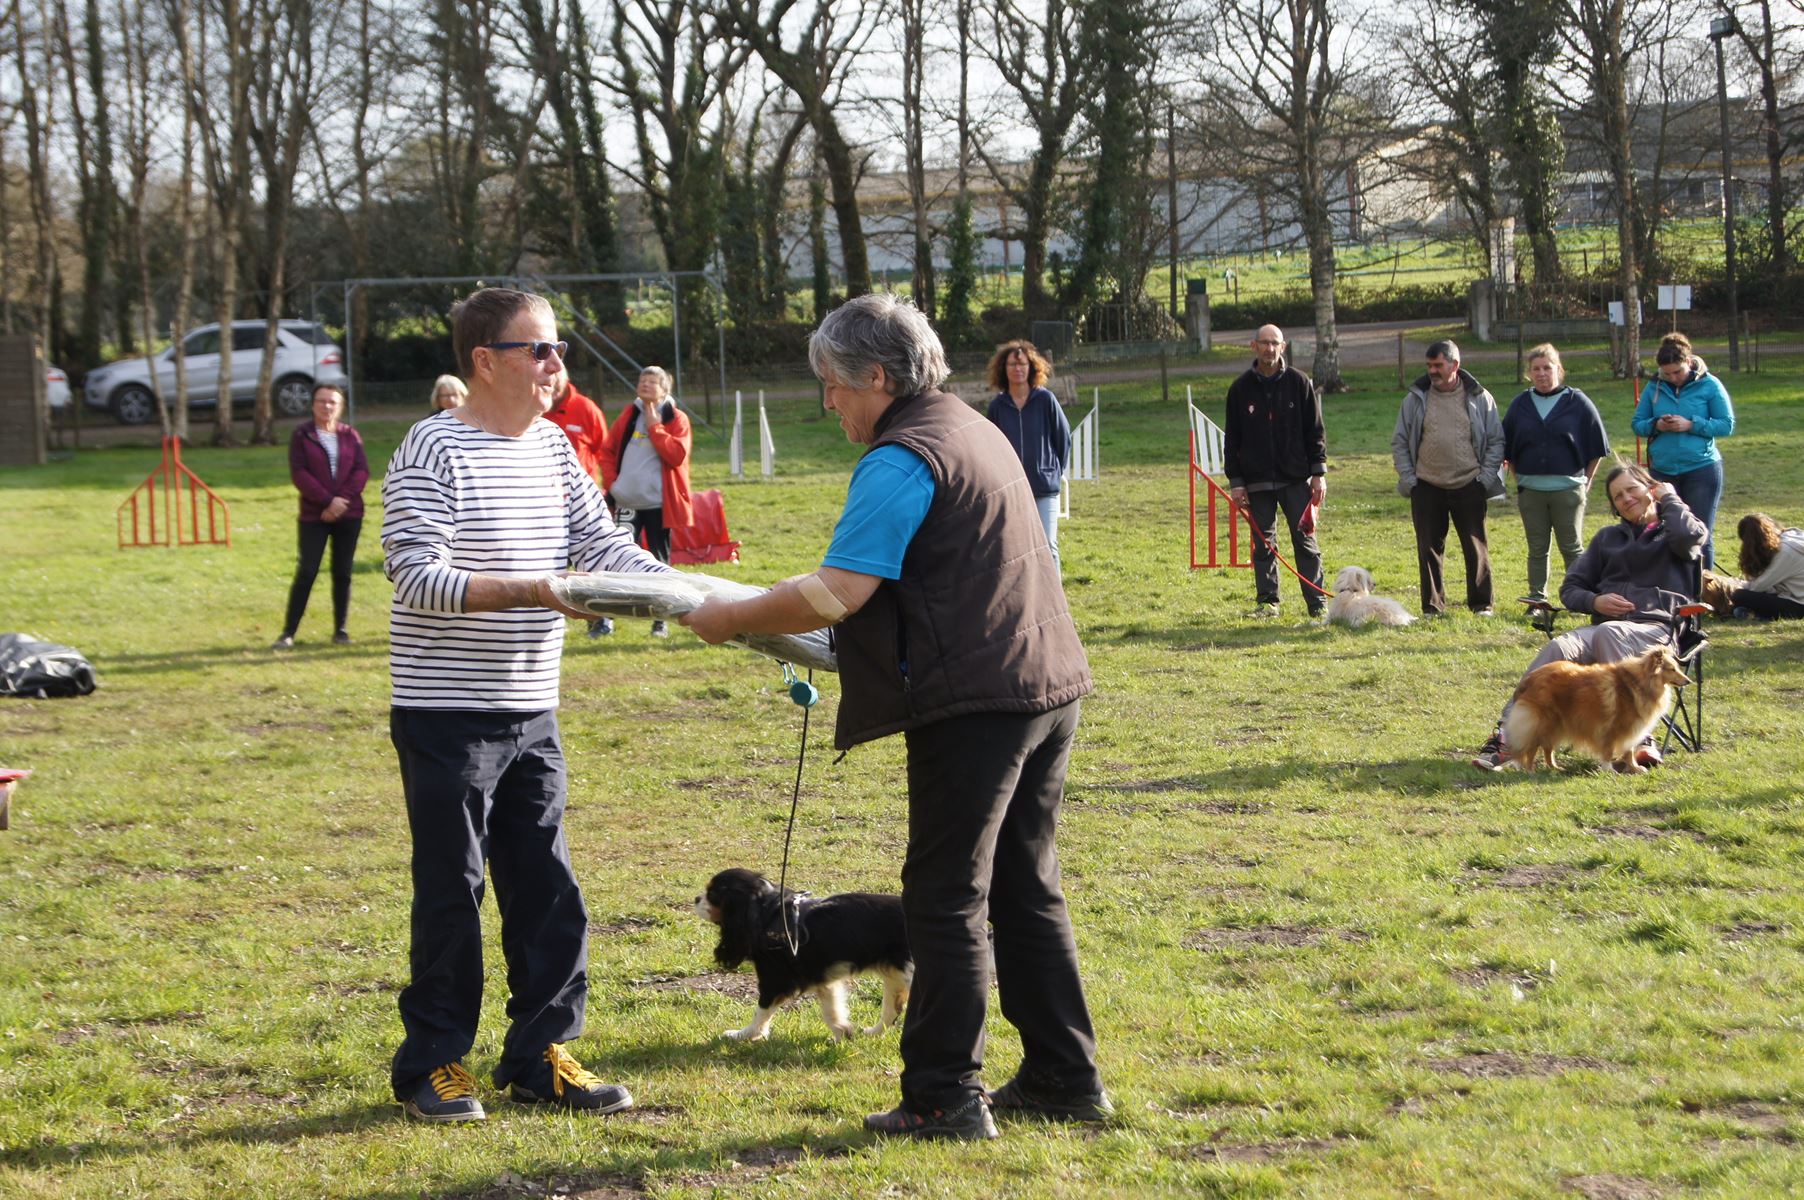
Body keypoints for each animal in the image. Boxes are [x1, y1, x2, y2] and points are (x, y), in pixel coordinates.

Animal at [692, 866, 916, 1046]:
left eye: (712, 893)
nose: (695, 899)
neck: (768, 913)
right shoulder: (823, 979)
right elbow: (831, 1011)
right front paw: (842, 1034)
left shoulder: (775, 980)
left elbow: (761, 1012)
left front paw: (744, 1034)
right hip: (894, 975)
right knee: (891, 1011)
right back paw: (871, 1032)